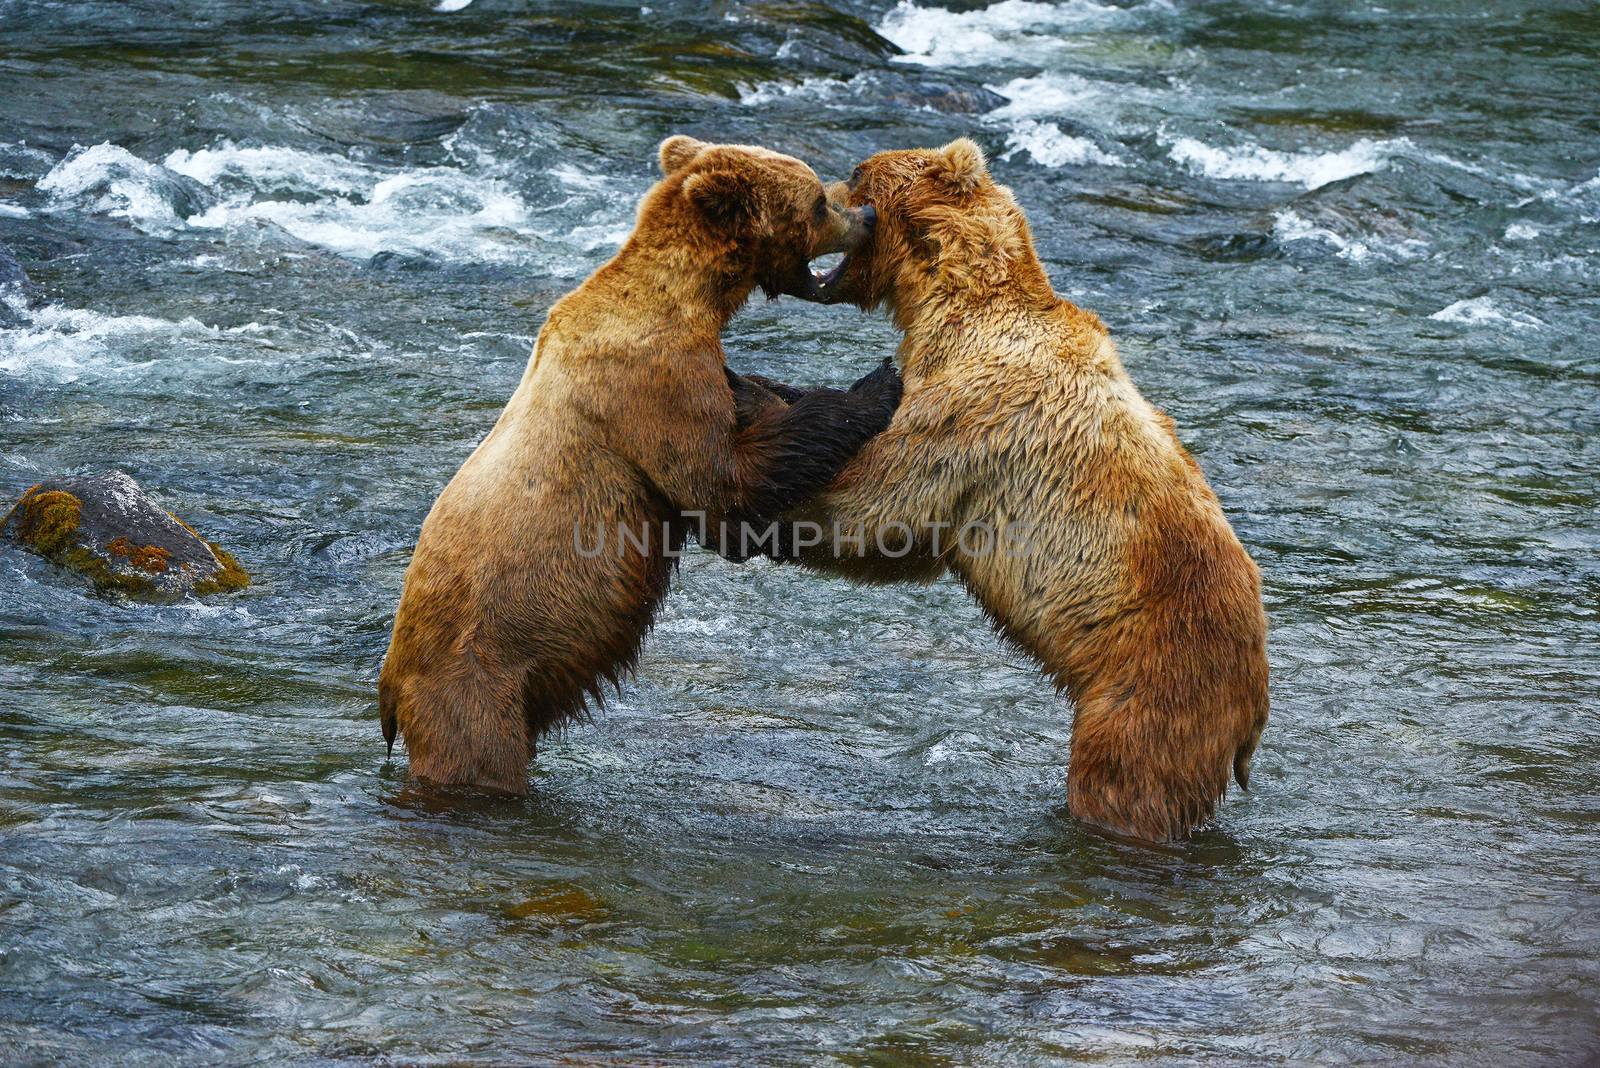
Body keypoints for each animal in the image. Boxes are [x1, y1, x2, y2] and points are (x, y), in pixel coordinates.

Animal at [376, 135, 902, 793]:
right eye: (817, 201)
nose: (868, 215)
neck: (692, 298)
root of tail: (389, 691)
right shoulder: (653, 383)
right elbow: (727, 489)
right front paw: (877, 384)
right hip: (473, 684)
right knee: (478, 756)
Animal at [736, 139, 1273, 844]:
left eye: (856, 172)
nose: (821, 187)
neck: (952, 306)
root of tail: (1256, 695)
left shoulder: (974, 413)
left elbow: (878, 510)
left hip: (1156, 680)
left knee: (1125, 779)